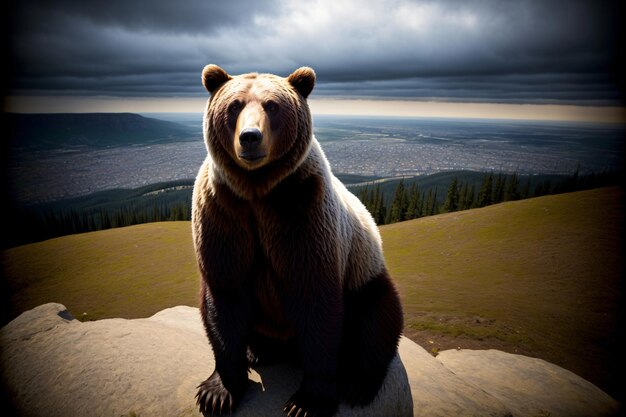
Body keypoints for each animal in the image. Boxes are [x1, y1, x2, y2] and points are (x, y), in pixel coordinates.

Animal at [193, 65, 402, 416]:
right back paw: (258, 350)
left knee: (378, 318)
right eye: (234, 105)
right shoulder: (223, 211)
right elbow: (226, 296)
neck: (257, 190)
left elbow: (316, 304)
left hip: (365, 272)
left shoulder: (301, 211)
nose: (250, 137)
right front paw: (217, 392)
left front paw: (307, 402)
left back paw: (359, 383)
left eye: (272, 105)